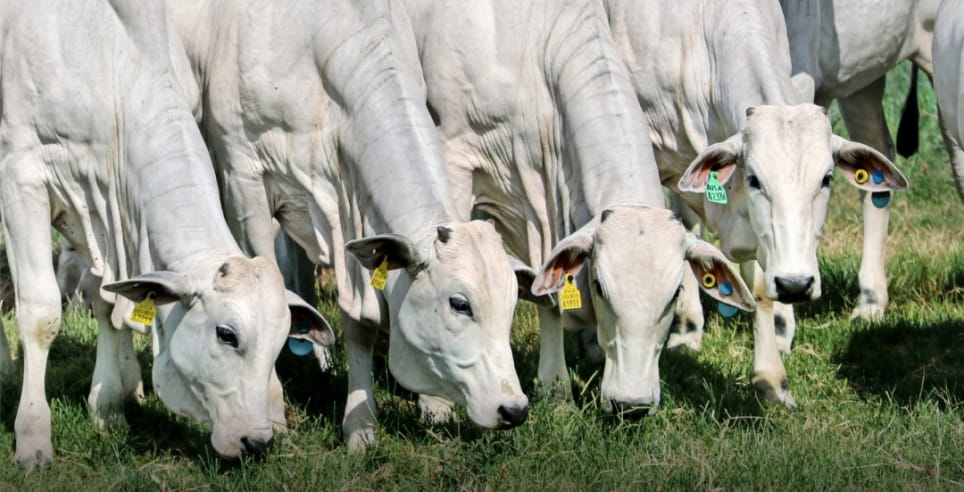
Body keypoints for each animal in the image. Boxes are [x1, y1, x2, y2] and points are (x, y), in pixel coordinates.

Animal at [0, 0, 334, 468]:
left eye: (280, 342)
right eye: (227, 334)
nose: (257, 442)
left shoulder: (102, 212)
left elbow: (109, 302)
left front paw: (109, 406)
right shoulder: (21, 175)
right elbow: (41, 315)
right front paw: (32, 436)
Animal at [402, 0, 756, 418]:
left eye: (675, 294)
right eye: (600, 287)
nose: (631, 405)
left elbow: (547, 291)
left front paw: (557, 391)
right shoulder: (454, 152)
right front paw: (435, 399)